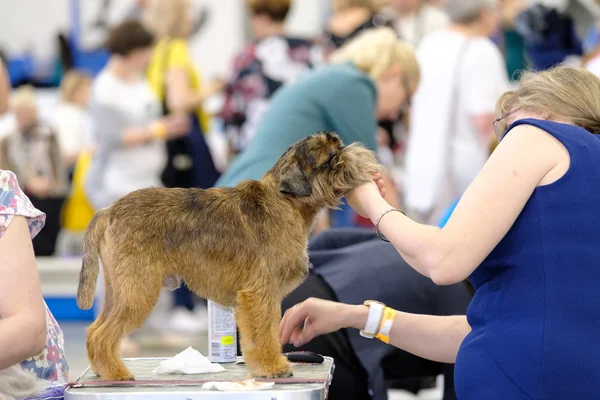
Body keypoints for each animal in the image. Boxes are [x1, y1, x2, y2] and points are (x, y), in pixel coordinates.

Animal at [77, 132, 382, 382]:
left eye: (338, 148)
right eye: (330, 159)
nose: (350, 153)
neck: (285, 202)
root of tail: (110, 211)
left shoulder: (265, 298)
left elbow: (267, 333)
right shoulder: (259, 295)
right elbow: (262, 334)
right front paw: (272, 367)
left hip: (120, 289)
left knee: (94, 330)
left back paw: (102, 369)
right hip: (138, 290)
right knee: (103, 334)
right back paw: (116, 373)